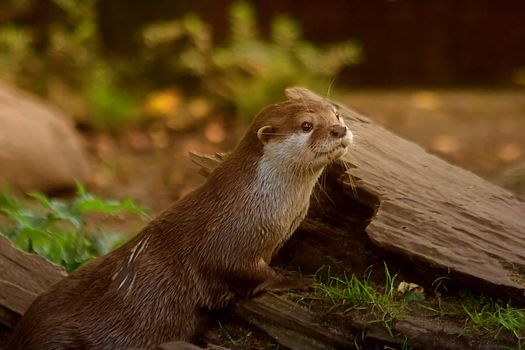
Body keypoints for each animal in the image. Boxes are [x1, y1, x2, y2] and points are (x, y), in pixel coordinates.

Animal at [7, 87, 352, 348]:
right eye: (306, 125)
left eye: (335, 113)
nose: (340, 129)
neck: (255, 203)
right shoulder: (228, 242)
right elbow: (244, 272)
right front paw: (296, 280)